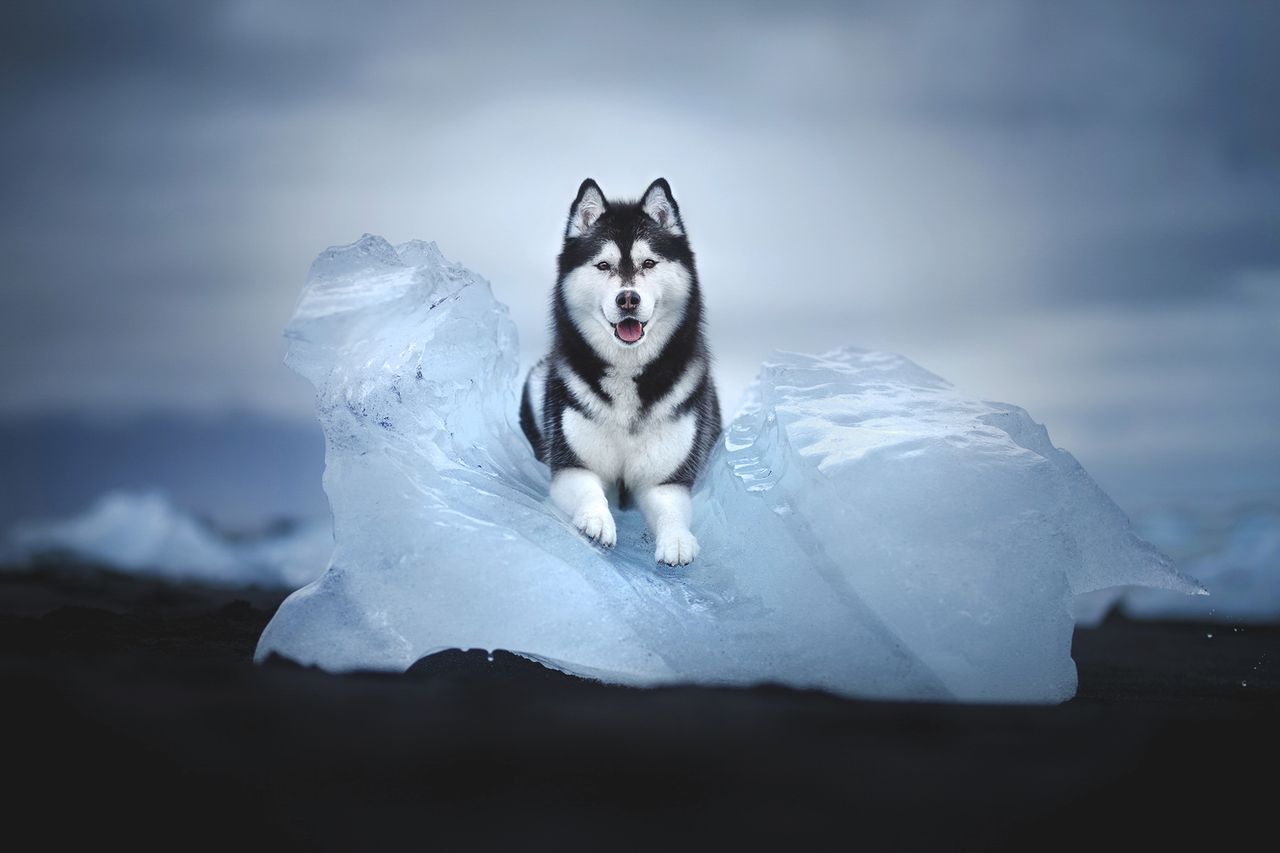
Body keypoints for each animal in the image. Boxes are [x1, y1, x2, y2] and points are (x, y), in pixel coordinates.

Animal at [519, 178, 721, 563]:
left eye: (649, 262)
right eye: (603, 265)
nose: (628, 298)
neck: (628, 375)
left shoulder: (665, 479)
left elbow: (671, 509)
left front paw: (676, 540)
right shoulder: (572, 466)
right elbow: (589, 490)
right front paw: (597, 521)